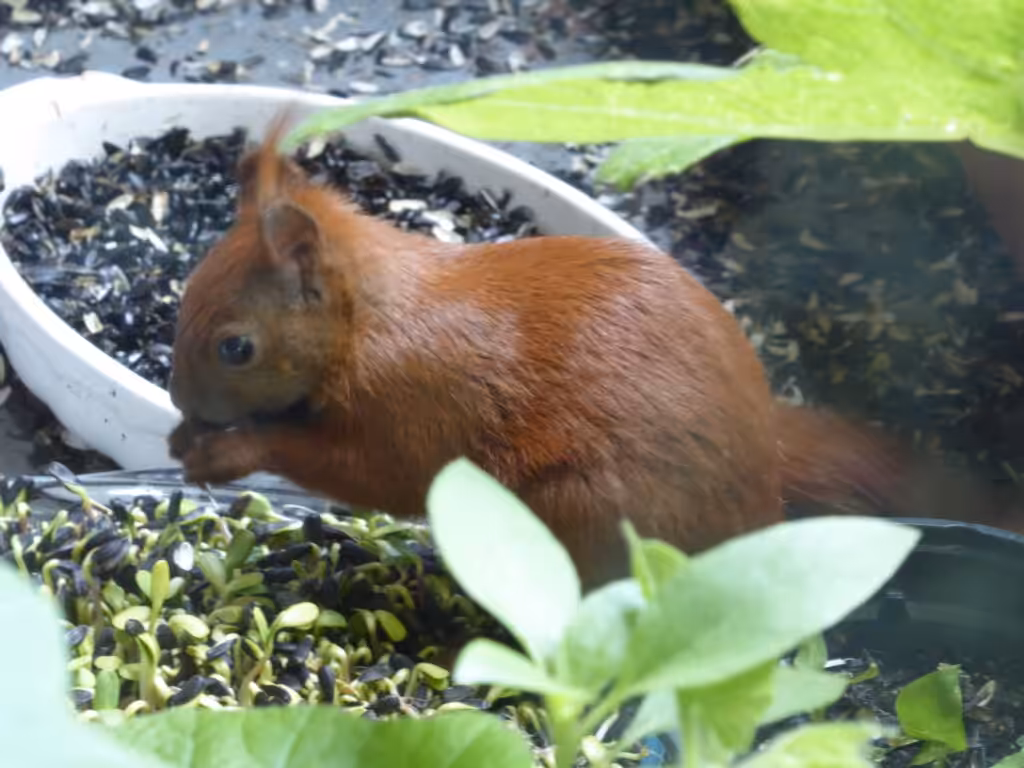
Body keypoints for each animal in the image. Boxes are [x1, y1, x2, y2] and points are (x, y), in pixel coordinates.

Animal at [167, 112, 1024, 590]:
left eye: (236, 346)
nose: (178, 401)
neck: (370, 320)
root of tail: (766, 498)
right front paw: (184, 439)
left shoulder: (416, 397)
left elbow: (373, 471)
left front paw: (226, 449)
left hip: (585, 510)